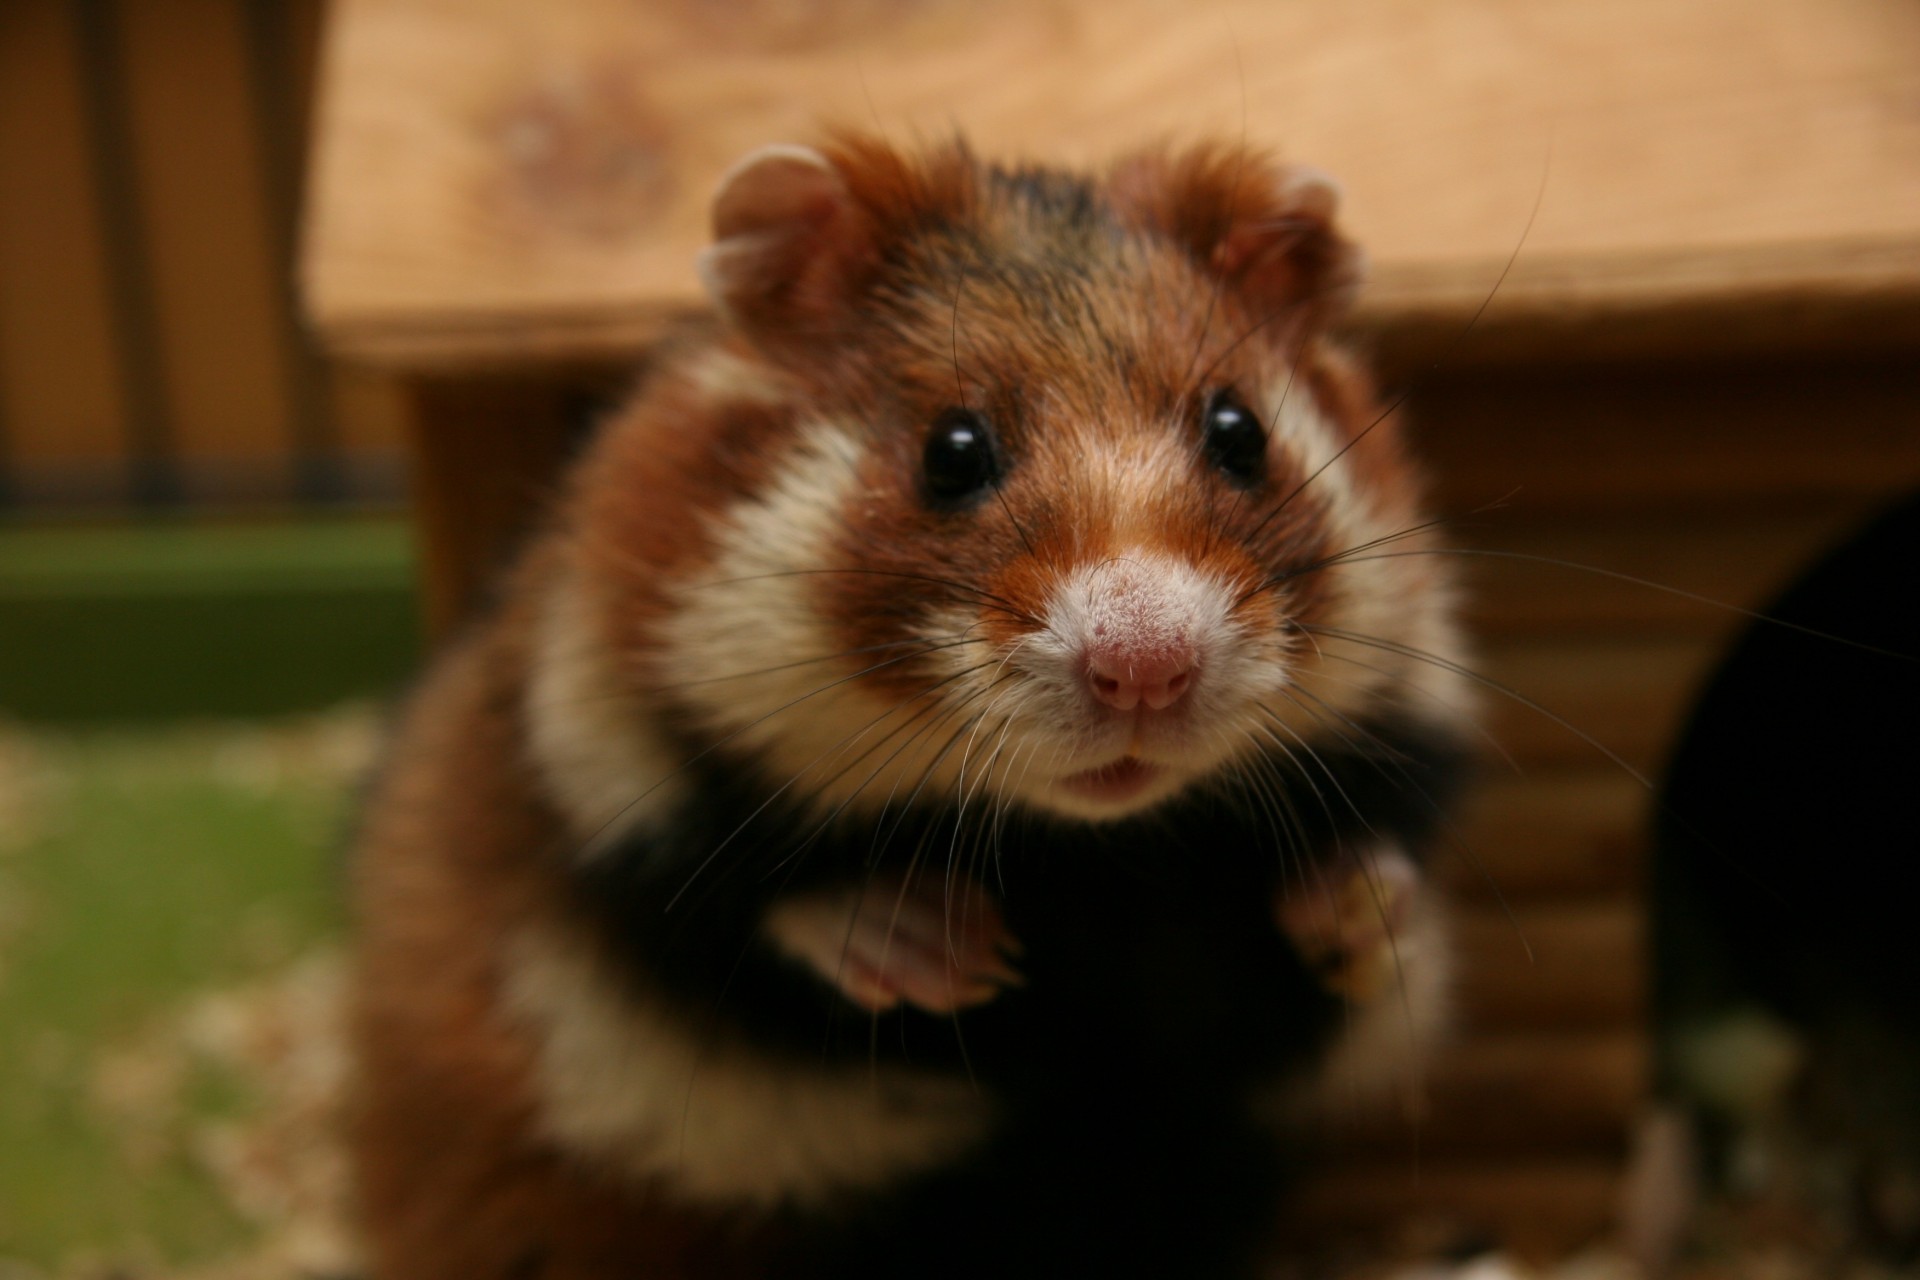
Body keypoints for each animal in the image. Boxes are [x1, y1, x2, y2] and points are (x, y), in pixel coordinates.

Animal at [346, 133, 1474, 1280]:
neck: (1091, 852)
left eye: (1241, 432)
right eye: (952, 450)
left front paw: (1350, 913)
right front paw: (959, 953)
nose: (1147, 668)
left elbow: (1375, 871)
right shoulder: (616, 790)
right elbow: (760, 903)